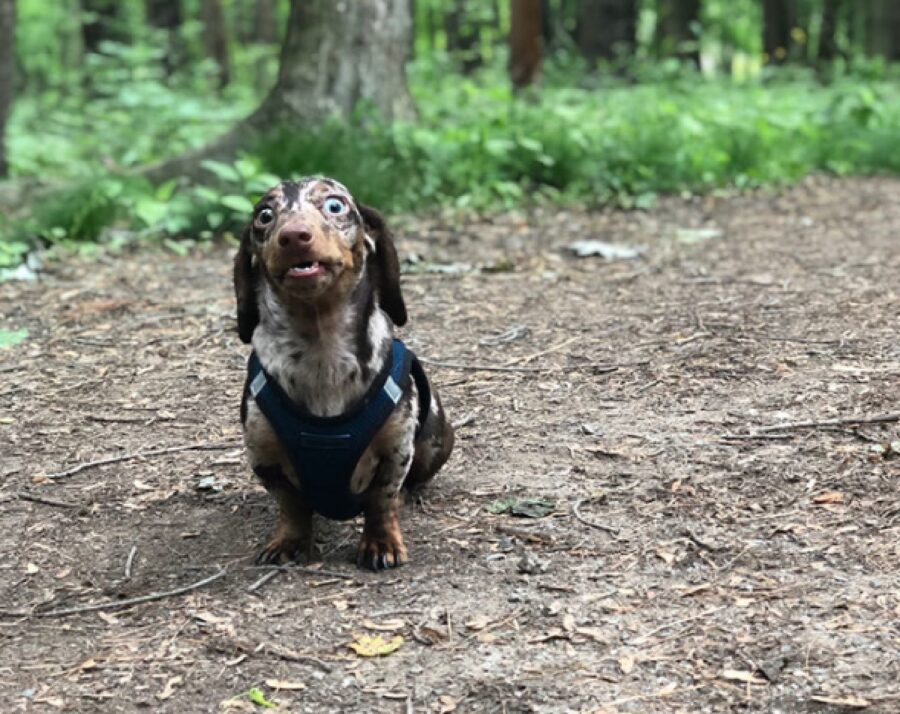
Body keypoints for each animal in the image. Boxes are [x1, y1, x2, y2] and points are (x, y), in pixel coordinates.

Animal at [234, 177, 454, 568]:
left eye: (335, 205)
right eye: (264, 215)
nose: (293, 235)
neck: (322, 352)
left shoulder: (396, 449)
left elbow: (381, 501)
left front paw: (381, 543)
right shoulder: (263, 456)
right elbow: (291, 505)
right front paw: (289, 540)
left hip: (432, 442)